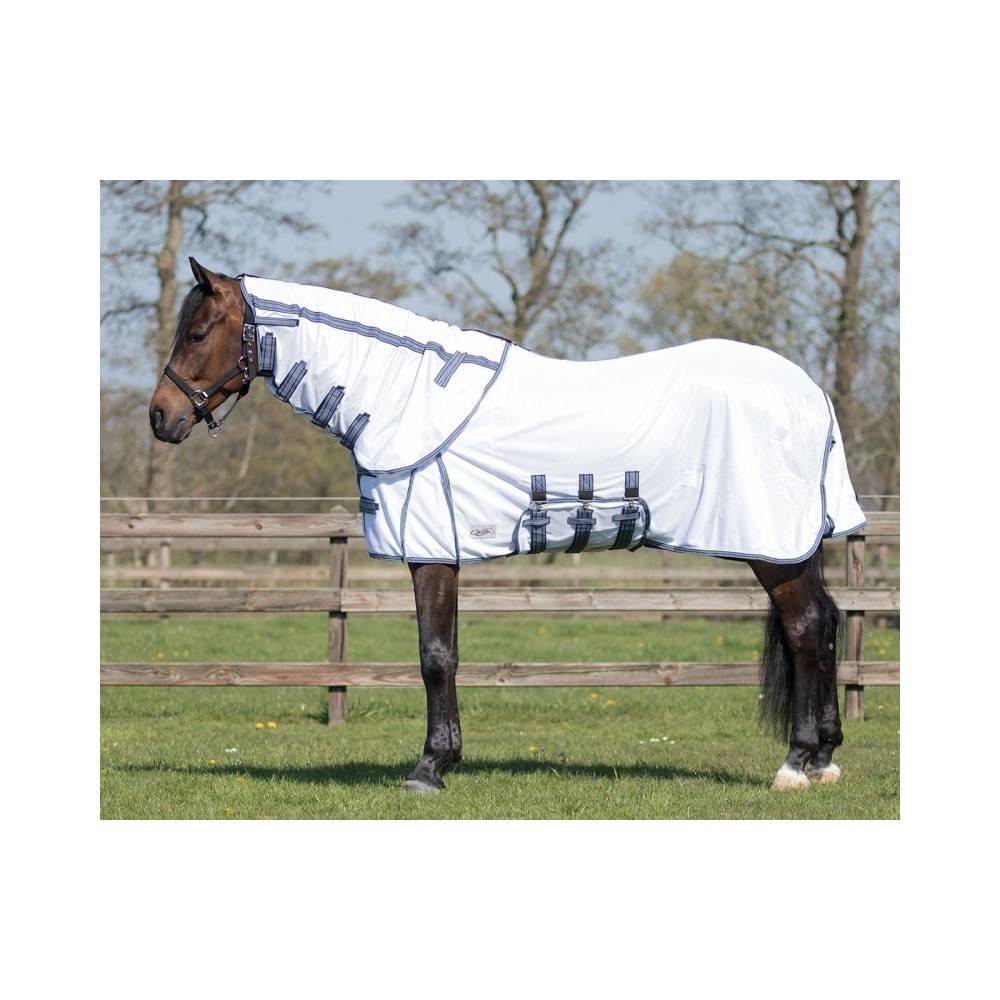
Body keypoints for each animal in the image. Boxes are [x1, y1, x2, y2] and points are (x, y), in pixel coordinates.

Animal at [149, 257, 865, 794]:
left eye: (199, 331)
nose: (160, 417)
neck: (406, 395)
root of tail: (811, 394)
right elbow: (447, 654)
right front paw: (445, 758)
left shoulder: (432, 553)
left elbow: (435, 656)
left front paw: (429, 768)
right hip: (792, 549)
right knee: (826, 624)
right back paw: (826, 759)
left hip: (774, 549)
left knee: (805, 628)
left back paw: (795, 765)